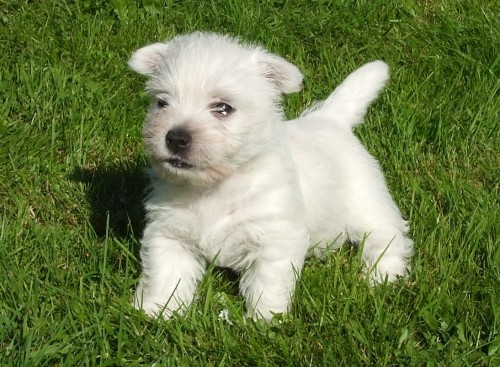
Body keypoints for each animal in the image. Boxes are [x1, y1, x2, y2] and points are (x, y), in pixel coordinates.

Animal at [128, 31, 414, 320]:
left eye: (223, 108)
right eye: (162, 102)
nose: (175, 137)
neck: (215, 187)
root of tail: (331, 119)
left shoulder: (275, 238)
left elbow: (267, 283)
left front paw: (263, 320)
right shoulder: (169, 234)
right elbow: (166, 274)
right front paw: (157, 311)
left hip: (367, 203)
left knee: (387, 239)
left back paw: (382, 277)